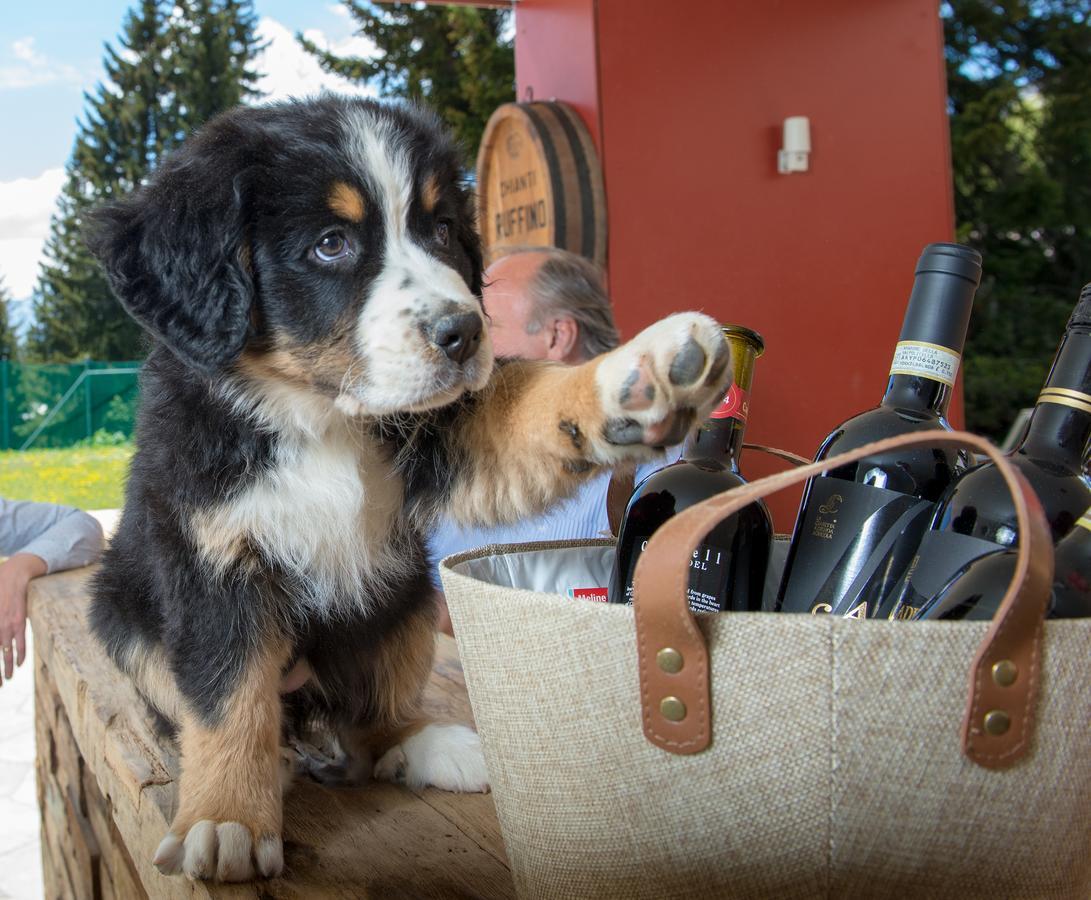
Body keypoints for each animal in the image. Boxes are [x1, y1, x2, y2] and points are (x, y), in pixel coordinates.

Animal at [87, 94, 733, 881]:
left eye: (443, 230)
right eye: (331, 243)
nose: (465, 332)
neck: (318, 415)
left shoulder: (442, 438)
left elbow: (523, 402)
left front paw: (636, 374)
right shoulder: (212, 558)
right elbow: (224, 698)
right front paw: (225, 818)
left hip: (406, 598)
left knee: (373, 725)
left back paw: (429, 743)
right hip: (120, 615)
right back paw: (276, 761)